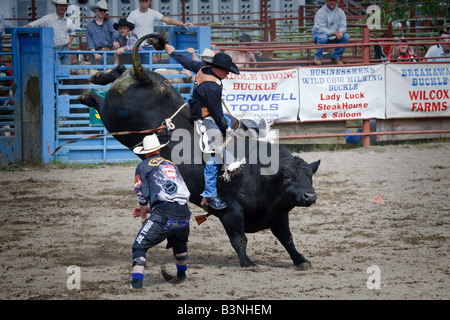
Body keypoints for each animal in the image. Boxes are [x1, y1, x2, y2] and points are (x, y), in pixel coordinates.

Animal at [79, 34, 322, 268]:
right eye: (288, 176)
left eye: (310, 176)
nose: (309, 196)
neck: (260, 174)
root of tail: (144, 77)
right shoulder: (232, 212)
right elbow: (240, 238)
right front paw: (248, 262)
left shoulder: (279, 214)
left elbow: (287, 239)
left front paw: (301, 260)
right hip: (116, 121)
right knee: (99, 102)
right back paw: (86, 94)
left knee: (121, 70)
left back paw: (99, 77)